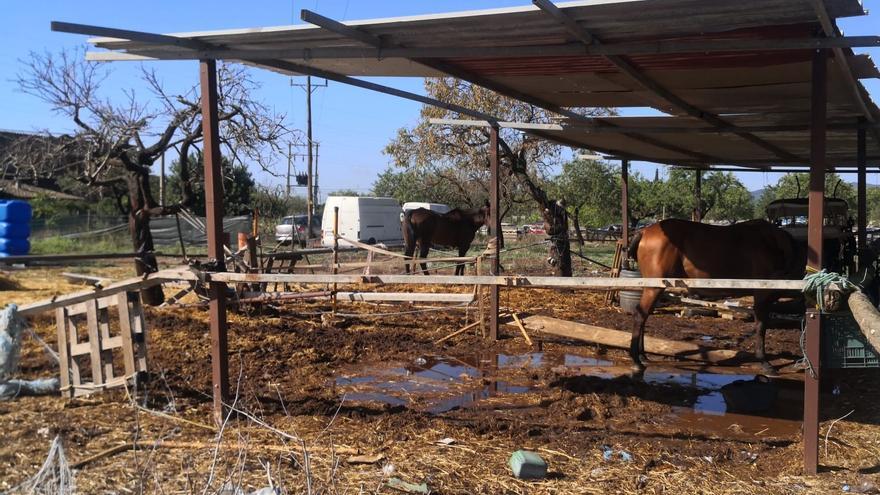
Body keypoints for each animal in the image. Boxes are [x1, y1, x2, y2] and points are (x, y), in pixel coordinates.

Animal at [624, 219, 804, 374]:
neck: (774, 243)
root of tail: (644, 232)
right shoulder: (762, 294)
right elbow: (760, 327)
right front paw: (764, 362)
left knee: (644, 316)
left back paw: (642, 356)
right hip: (654, 288)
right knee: (640, 315)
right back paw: (636, 360)